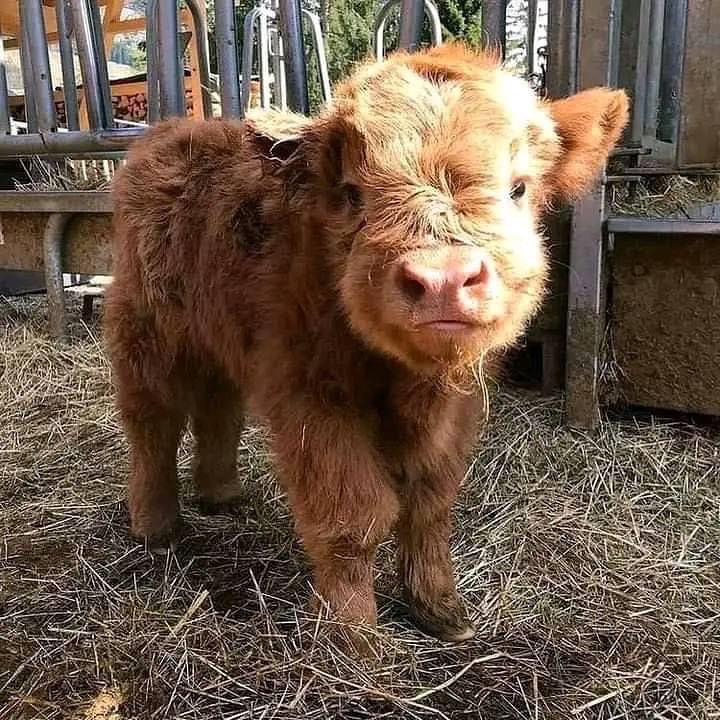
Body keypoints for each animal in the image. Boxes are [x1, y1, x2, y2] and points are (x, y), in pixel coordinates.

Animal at [104, 43, 628, 641]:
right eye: (352, 194)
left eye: (518, 187)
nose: (443, 279)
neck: (407, 380)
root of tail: (173, 131)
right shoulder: (313, 399)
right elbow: (355, 516)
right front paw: (353, 636)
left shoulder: (457, 408)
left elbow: (429, 504)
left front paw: (440, 609)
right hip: (146, 332)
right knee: (154, 424)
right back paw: (156, 527)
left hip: (218, 335)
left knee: (218, 408)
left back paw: (220, 494)